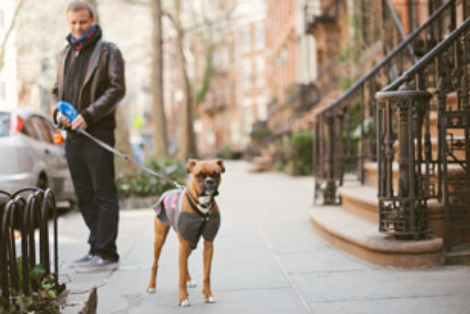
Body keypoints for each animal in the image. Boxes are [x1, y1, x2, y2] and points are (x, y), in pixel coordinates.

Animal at [149, 158, 226, 306]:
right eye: (199, 175)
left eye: (216, 174)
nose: (209, 182)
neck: (202, 204)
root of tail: (166, 192)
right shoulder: (183, 243)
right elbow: (180, 275)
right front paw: (183, 298)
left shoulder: (208, 244)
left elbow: (206, 274)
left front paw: (208, 295)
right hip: (160, 239)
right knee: (155, 263)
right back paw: (151, 286)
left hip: (190, 243)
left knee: (185, 263)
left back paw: (188, 279)